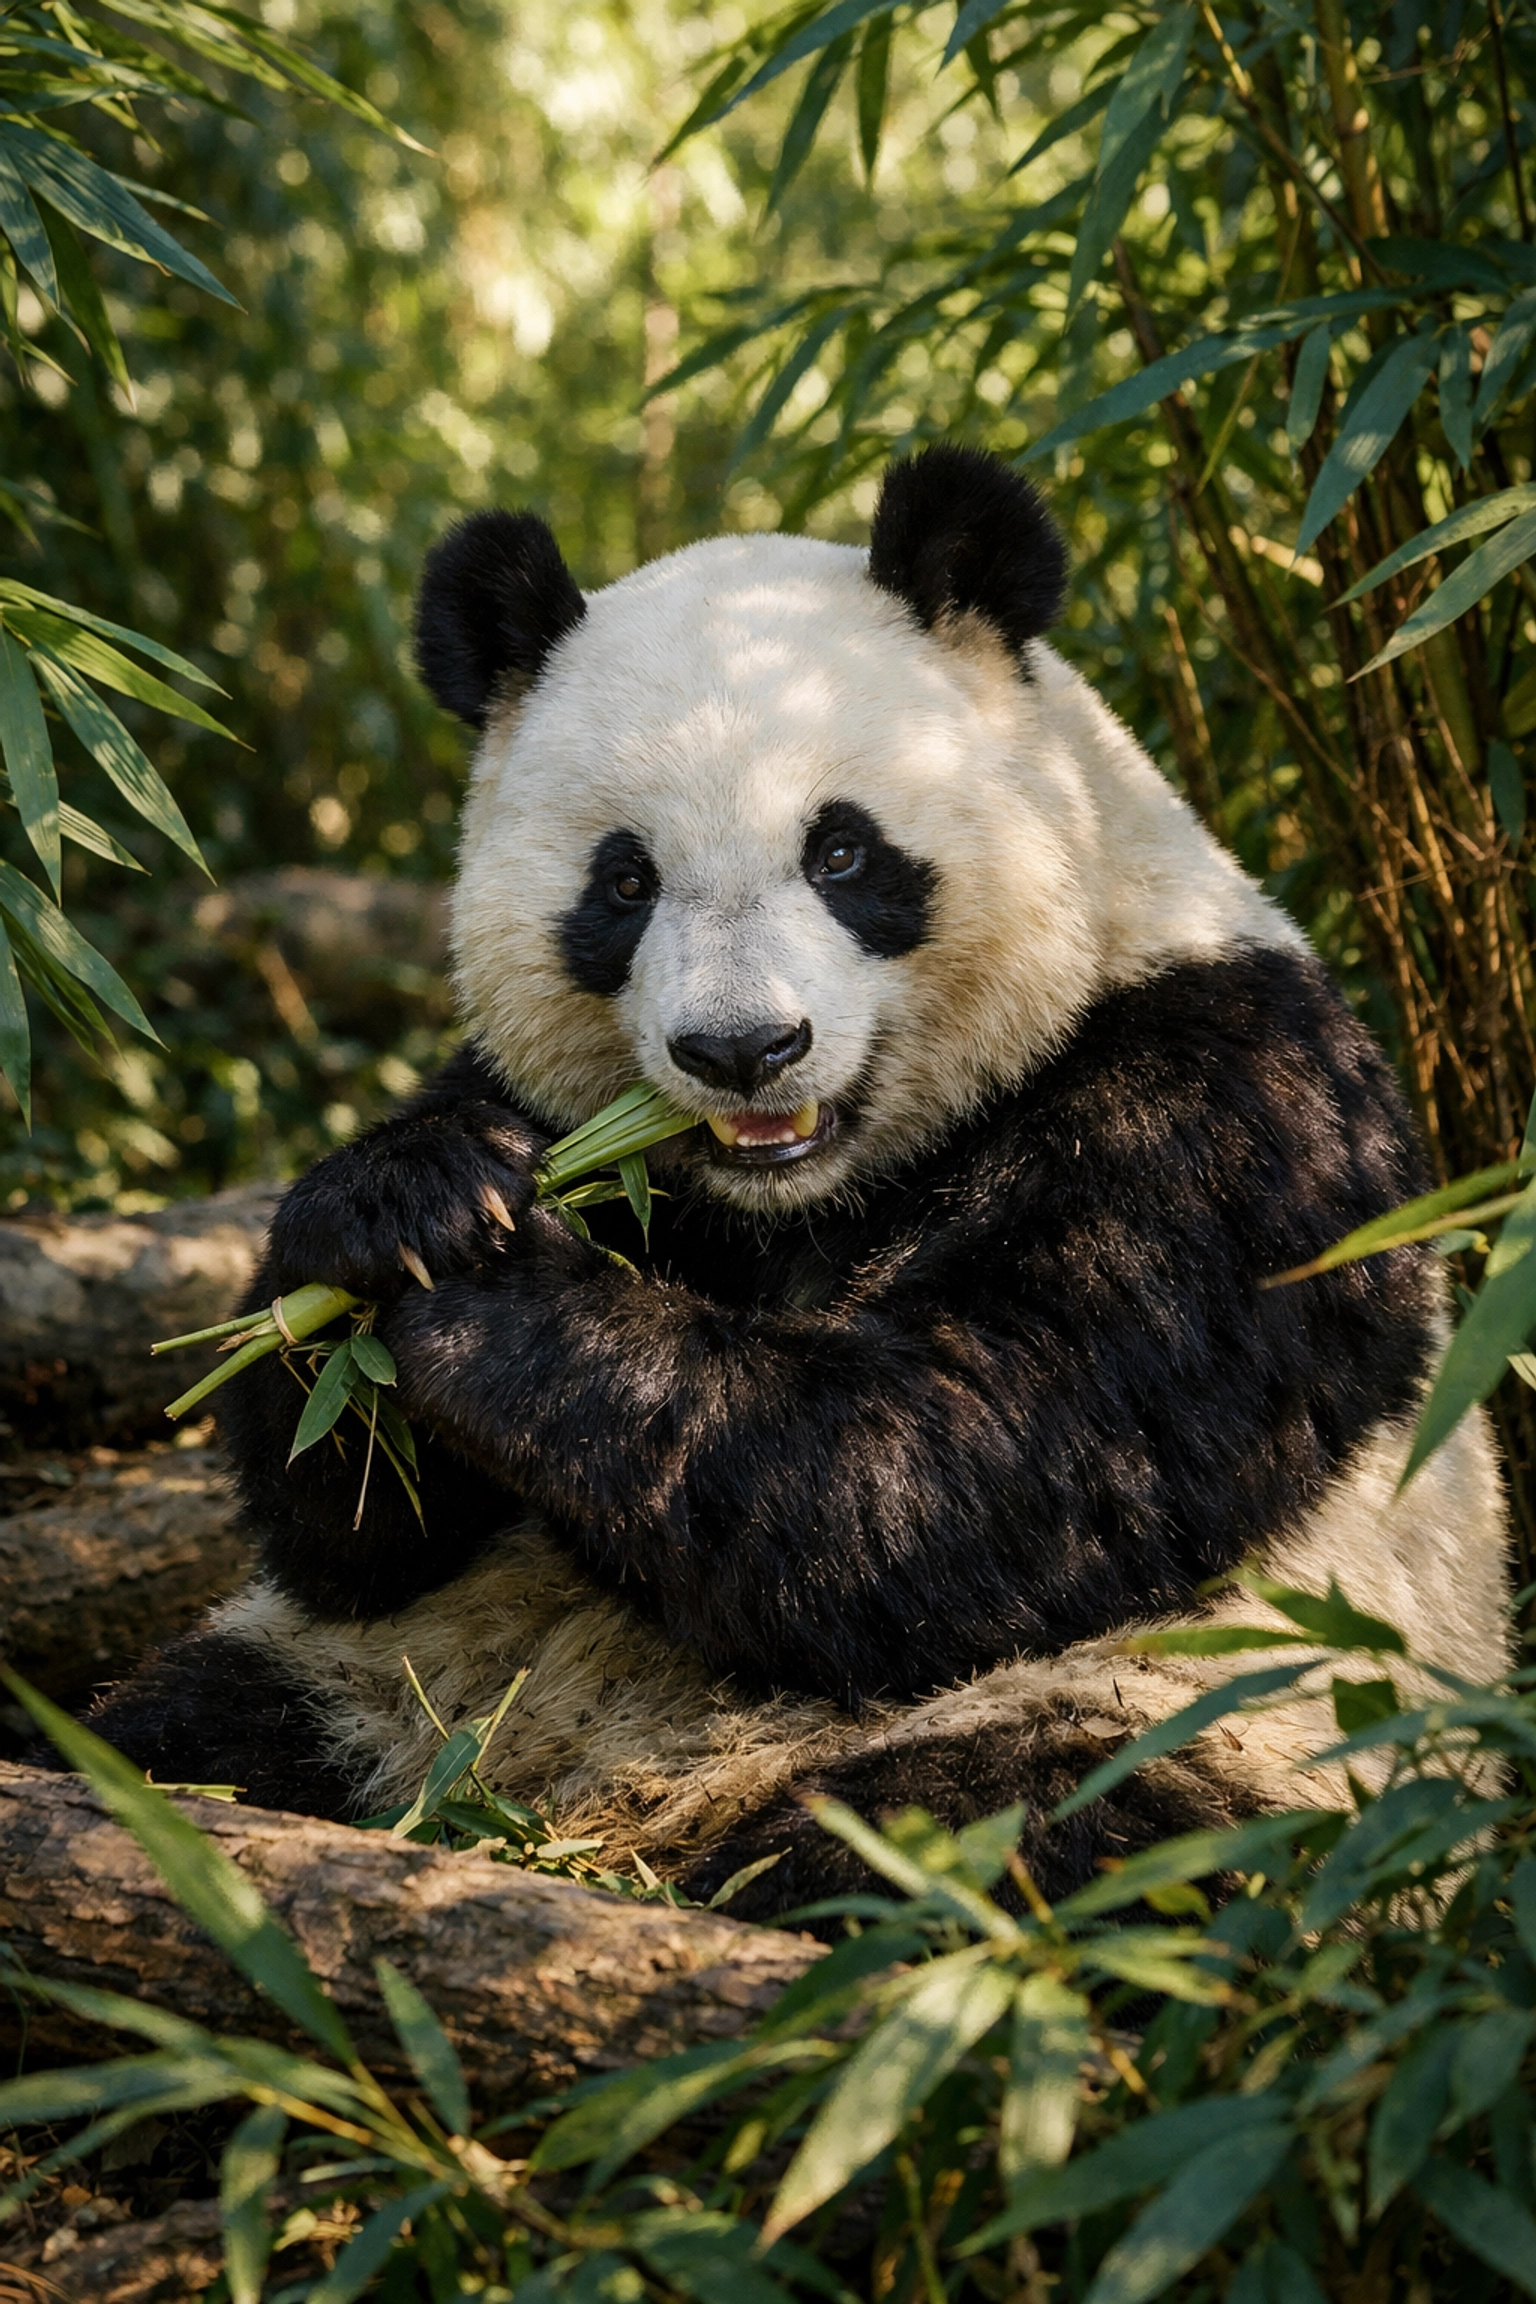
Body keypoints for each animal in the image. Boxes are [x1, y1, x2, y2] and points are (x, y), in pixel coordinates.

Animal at [87, 445, 1508, 1919]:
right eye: (624, 881)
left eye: (842, 851)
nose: (743, 1050)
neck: (806, 1197)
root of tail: (589, 1807)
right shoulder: (537, 1106)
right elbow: (347, 1521)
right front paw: (397, 1210)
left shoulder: (1230, 1116)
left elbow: (952, 1474)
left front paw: (496, 1303)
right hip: (399, 1685)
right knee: (189, 1734)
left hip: (1216, 1731)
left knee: (1027, 1837)